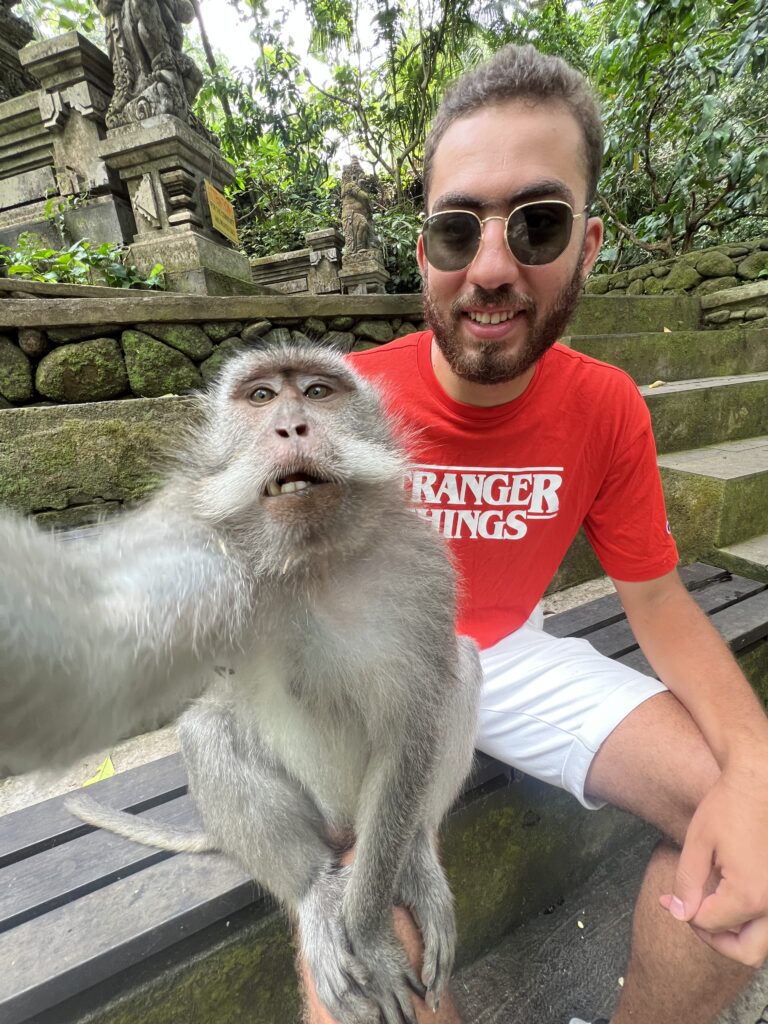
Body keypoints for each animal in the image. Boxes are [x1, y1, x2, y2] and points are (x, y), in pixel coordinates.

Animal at [0, 342, 481, 1024]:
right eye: (260, 397)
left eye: (317, 392)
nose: (292, 427)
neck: (310, 560)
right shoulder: (198, 547)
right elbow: (93, 661)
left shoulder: (422, 566)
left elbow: (411, 719)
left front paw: (369, 932)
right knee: (206, 730)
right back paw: (312, 893)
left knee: (459, 667)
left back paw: (411, 853)